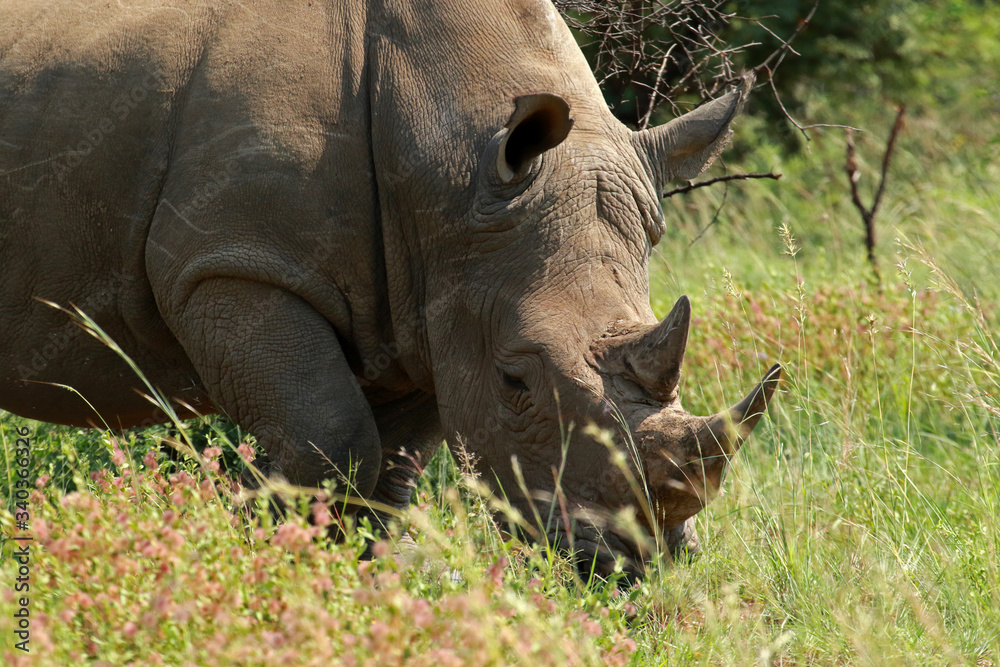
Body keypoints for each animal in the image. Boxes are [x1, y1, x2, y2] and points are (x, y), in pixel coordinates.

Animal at [0, 0, 780, 575]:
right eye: (516, 382)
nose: (628, 566)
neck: (449, 168)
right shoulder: (230, 263)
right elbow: (331, 436)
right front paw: (255, 558)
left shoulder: (435, 305)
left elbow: (391, 477)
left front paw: (352, 585)